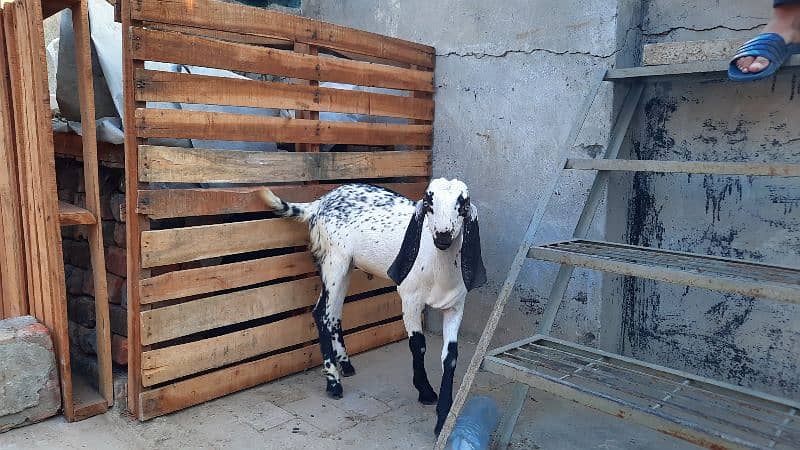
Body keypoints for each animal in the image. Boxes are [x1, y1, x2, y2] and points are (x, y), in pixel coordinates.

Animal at [260, 178, 484, 434]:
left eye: (463, 204)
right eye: (428, 203)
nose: (443, 236)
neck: (438, 265)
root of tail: (320, 203)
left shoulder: (456, 307)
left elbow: (451, 357)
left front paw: (444, 417)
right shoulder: (410, 298)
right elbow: (418, 345)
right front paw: (425, 391)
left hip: (345, 266)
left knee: (333, 313)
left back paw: (345, 365)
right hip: (333, 261)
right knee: (321, 314)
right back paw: (333, 382)